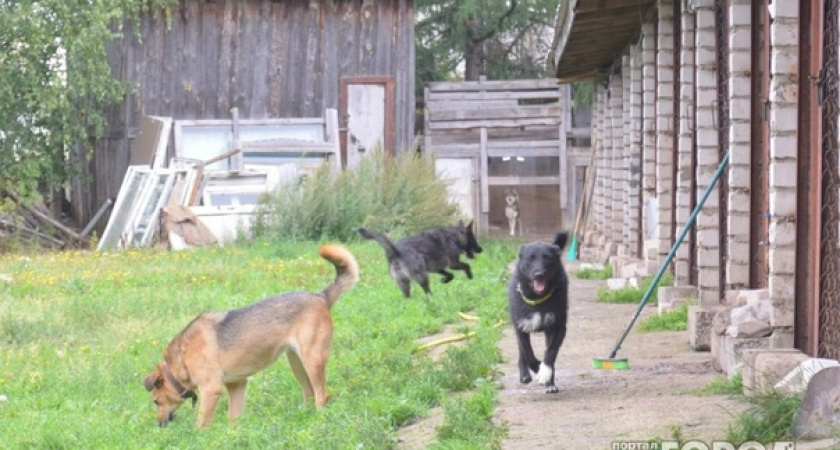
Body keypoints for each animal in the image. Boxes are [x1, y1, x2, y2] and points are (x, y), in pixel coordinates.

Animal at [144, 244, 358, 428]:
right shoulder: (237, 385)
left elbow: (201, 424)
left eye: (156, 401)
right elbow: (233, 419)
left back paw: (318, 421)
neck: (181, 360)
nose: (160, 425)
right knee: (309, 393)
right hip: (296, 362)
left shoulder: (211, 390)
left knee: (322, 395)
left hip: (312, 361)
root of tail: (321, 297)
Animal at [356, 221, 486, 298]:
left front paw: (444, 280)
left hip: (404, 282)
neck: (454, 236)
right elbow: (466, 266)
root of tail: (396, 251)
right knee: (426, 290)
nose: (481, 249)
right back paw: (432, 298)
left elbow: (450, 275)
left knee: (407, 296)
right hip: (423, 277)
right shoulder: (453, 264)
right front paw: (470, 275)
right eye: (474, 239)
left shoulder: (437, 268)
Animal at [506, 234, 572, 392]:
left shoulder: (558, 327)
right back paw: (525, 374)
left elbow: (551, 352)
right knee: (522, 351)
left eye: (548, 258)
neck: (538, 299)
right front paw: (537, 367)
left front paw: (545, 372)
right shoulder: (520, 326)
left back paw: (550, 383)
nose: (538, 275)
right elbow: (527, 352)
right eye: (530, 258)